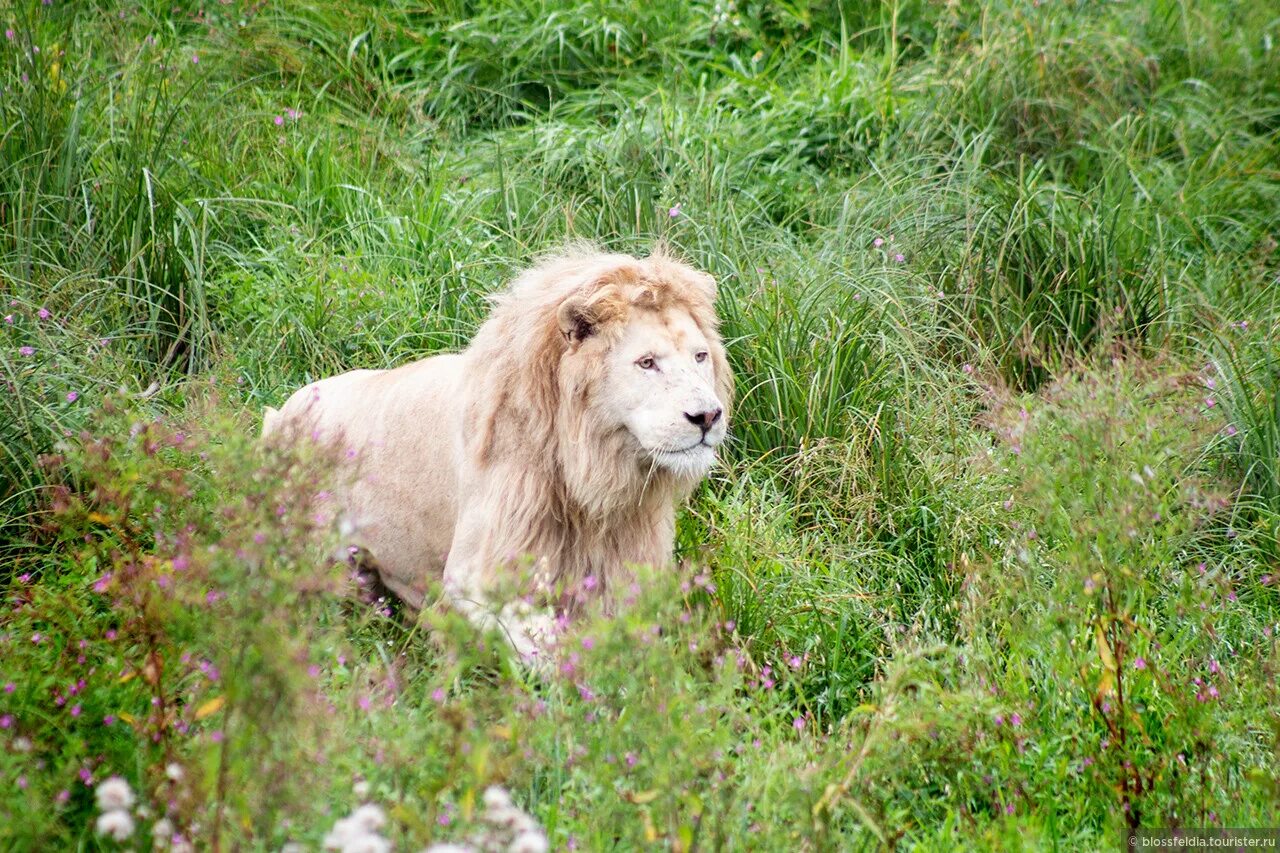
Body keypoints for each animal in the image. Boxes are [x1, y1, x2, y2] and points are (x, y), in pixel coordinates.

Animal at [262, 245, 732, 655]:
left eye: (700, 357)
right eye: (647, 362)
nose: (708, 416)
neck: (593, 475)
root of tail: (280, 413)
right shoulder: (474, 576)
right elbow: (552, 646)